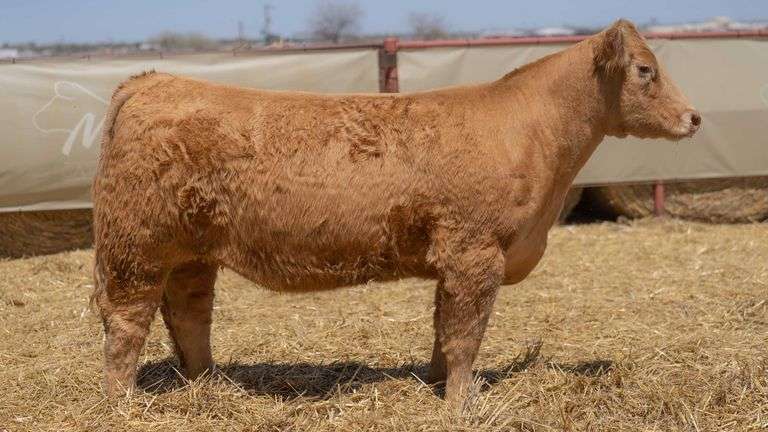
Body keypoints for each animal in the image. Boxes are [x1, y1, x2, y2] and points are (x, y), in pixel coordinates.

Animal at [91, 19, 700, 407]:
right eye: (644, 69)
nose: (694, 117)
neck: (532, 132)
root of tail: (152, 81)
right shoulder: (476, 252)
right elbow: (465, 335)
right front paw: (460, 405)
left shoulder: (453, 262)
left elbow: (442, 330)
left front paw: (435, 385)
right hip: (136, 248)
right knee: (127, 324)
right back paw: (123, 404)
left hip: (192, 252)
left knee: (189, 315)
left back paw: (208, 387)